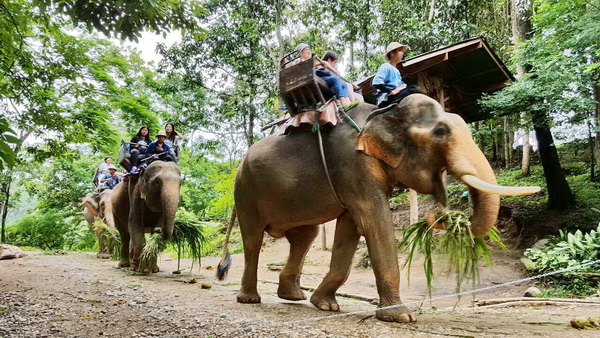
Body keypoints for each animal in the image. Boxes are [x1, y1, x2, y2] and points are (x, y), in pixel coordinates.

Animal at [226, 94, 540, 322]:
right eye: (440, 131)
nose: (441, 215)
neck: (384, 112)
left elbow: (350, 228)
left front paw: (326, 306)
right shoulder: (352, 165)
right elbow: (374, 222)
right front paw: (400, 317)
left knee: (305, 237)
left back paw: (294, 297)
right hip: (245, 191)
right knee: (253, 239)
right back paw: (250, 299)